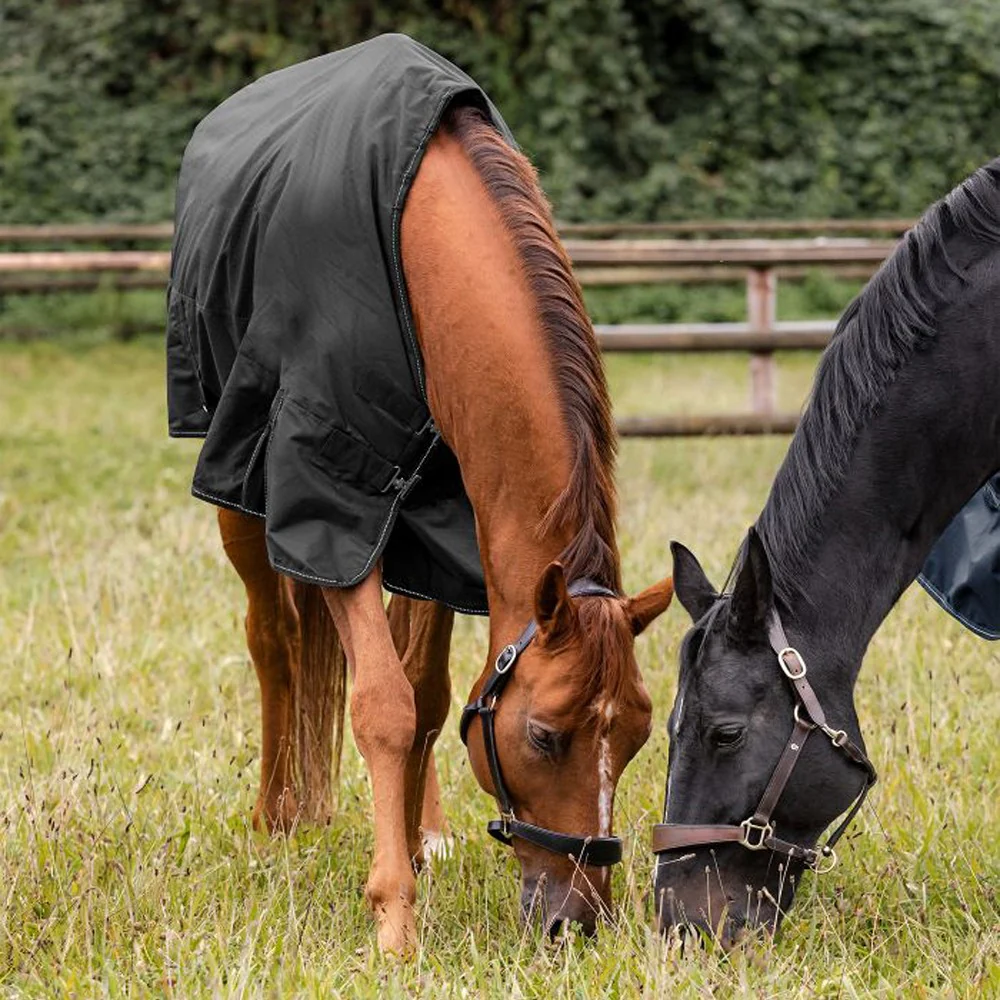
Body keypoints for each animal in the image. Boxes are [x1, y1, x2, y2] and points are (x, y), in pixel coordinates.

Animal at [167, 35, 672, 954]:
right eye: (546, 737)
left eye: (639, 732)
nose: (578, 921)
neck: (421, 238)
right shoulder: (332, 501)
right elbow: (382, 706)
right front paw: (394, 916)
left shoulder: (448, 526)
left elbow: (430, 700)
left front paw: (411, 846)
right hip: (236, 484)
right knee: (272, 638)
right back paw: (276, 816)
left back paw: (419, 828)